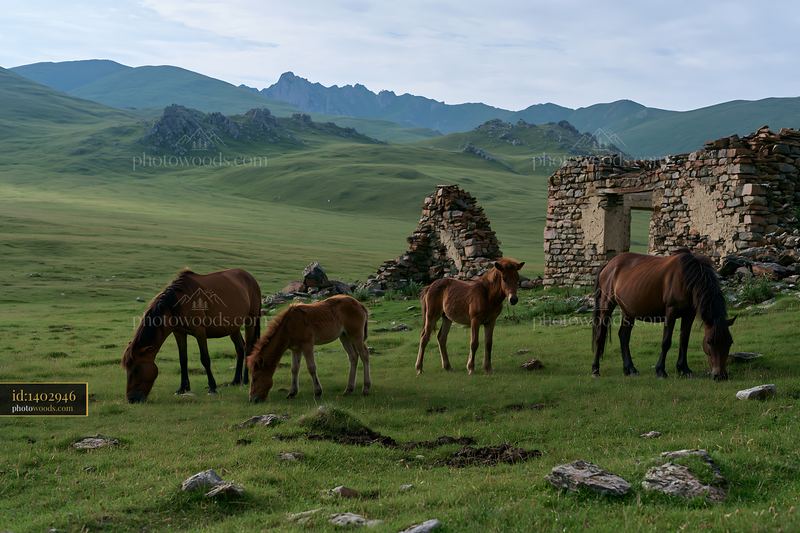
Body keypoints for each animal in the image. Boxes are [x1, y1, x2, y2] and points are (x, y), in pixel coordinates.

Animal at [121, 268, 262, 403]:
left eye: (136, 369)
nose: (132, 399)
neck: (178, 303)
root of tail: (251, 279)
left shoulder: (200, 332)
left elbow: (205, 359)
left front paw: (212, 387)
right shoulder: (179, 333)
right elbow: (183, 359)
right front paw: (183, 388)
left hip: (250, 321)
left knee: (248, 348)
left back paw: (245, 380)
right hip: (233, 328)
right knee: (240, 348)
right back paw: (235, 381)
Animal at [592, 250, 736, 380]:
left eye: (729, 342)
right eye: (709, 342)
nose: (720, 376)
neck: (687, 278)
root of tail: (608, 265)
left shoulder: (689, 314)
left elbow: (684, 340)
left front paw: (684, 369)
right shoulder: (671, 313)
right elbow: (666, 342)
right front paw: (660, 371)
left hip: (628, 312)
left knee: (623, 336)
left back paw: (630, 369)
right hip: (607, 306)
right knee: (600, 335)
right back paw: (595, 369)